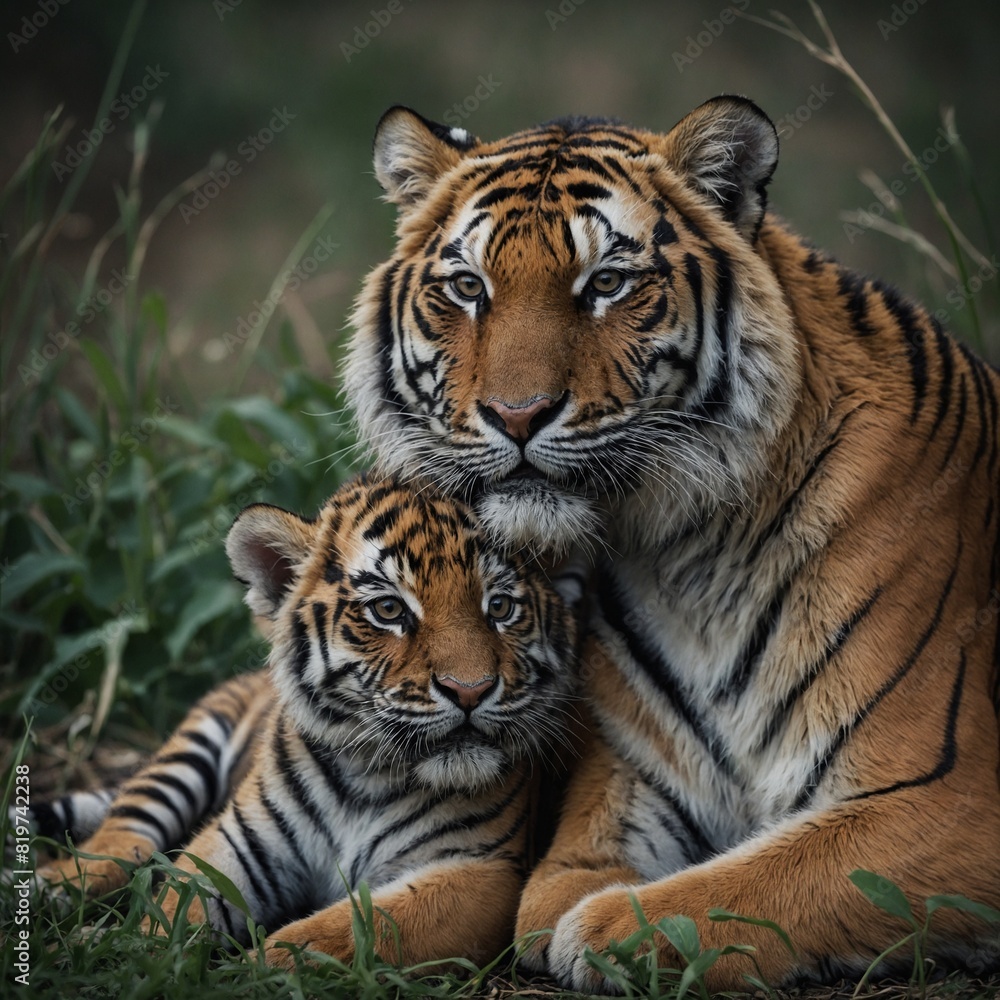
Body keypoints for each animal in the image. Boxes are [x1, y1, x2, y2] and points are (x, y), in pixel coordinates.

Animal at [37, 473, 583, 968]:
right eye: (389, 609)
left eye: (500, 606)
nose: (470, 690)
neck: (370, 777)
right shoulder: (238, 842)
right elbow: (174, 907)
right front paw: (137, 956)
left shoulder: (481, 870)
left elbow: (336, 931)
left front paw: (250, 971)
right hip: (186, 748)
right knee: (123, 835)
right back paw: (54, 890)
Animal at [343, 96, 1000, 991]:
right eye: (469, 288)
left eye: (607, 284)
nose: (517, 415)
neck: (691, 555)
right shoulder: (642, 773)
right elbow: (557, 880)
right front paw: (584, 905)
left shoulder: (947, 793)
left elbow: (770, 876)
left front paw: (614, 925)